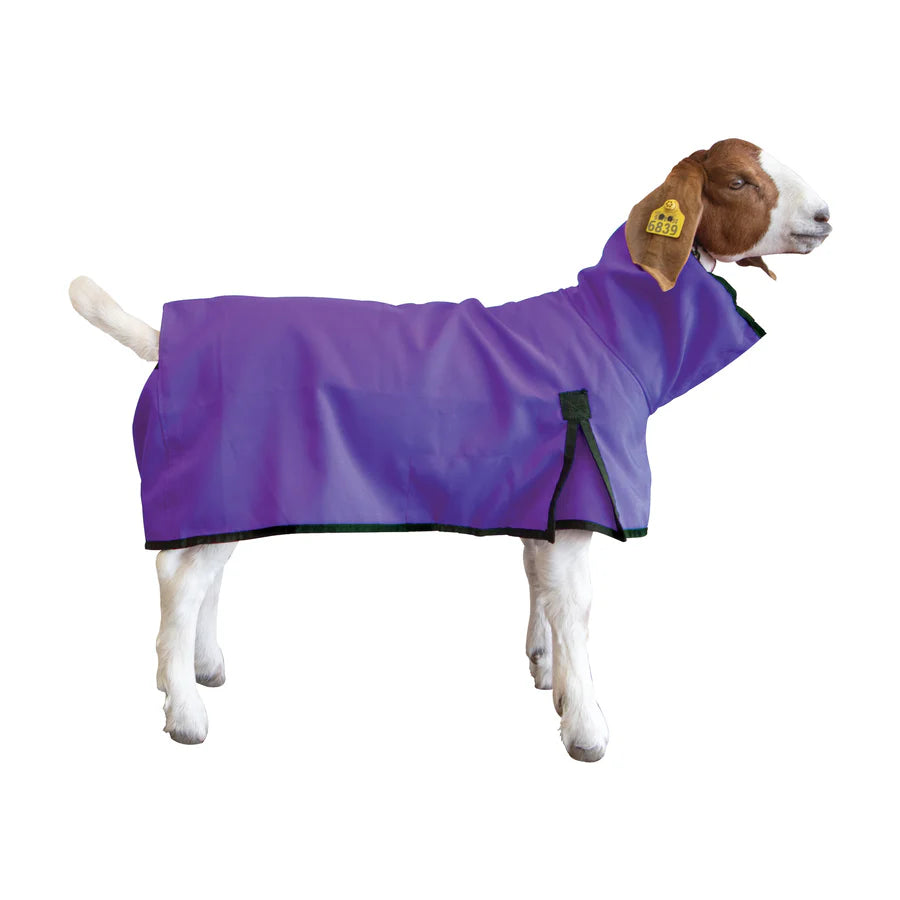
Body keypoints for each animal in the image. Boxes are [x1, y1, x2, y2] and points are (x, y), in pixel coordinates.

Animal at [70, 138, 830, 760]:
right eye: (738, 180)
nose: (825, 214)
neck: (607, 331)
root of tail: (163, 338)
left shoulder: (548, 497)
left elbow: (542, 588)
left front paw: (549, 677)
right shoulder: (585, 491)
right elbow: (578, 609)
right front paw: (587, 728)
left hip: (229, 487)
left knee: (201, 573)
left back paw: (202, 669)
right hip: (213, 473)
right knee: (178, 582)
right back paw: (185, 711)